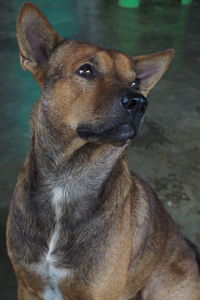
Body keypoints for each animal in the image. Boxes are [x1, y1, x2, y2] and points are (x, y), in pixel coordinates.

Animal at [6, 2, 200, 300]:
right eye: (86, 71)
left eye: (135, 82)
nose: (139, 102)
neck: (67, 180)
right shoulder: (28, 286)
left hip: (160, 287)